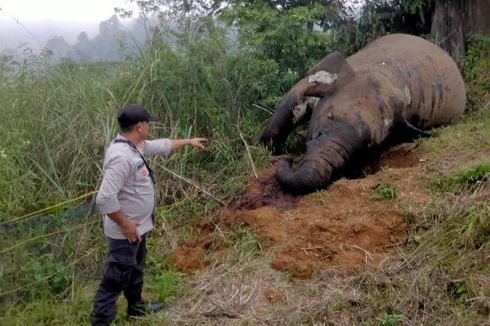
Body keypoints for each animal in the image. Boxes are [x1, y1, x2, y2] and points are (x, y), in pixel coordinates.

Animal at [258, 33, 466, 194]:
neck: (383, 72)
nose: (289, 160)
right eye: (329, 116)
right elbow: (285, 111)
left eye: (365, 146)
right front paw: (264, 150)